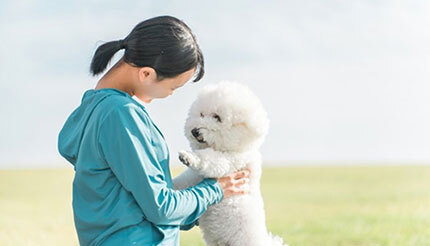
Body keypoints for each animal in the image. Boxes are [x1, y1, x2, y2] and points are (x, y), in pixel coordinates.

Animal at [173, 81, 288, 246]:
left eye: (217, 117)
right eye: (201, 114)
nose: (194, 131)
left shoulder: (231, 161)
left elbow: (210, 159)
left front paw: (188, 157)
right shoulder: (194, 177)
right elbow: (182, 182)